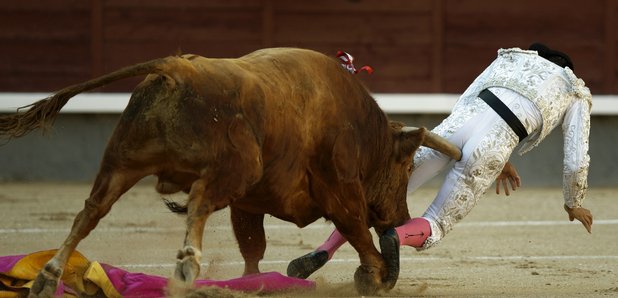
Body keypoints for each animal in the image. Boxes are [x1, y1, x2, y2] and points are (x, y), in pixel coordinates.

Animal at [0, 47, 460, 296]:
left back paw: (48, 275)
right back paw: (187, 264)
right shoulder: (341, 190)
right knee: (199, 201)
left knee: (90, 213)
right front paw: (377, 276)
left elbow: (252, 249)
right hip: (235, 169)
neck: (367, 136)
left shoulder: (248, 204)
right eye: (407, 168)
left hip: (122, 163)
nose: (401, 218)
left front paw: (255, 283)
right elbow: (359, 234)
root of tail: (179, 67)